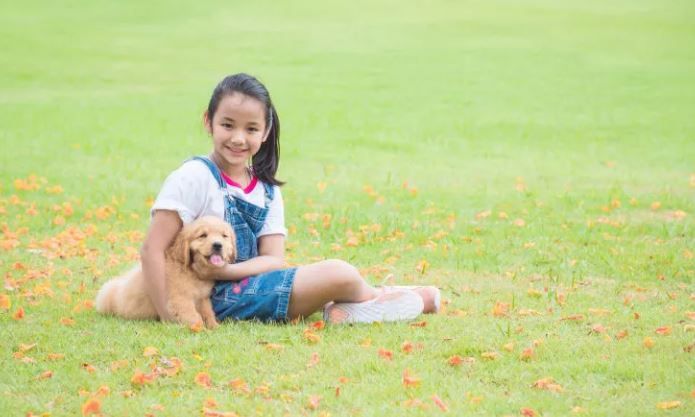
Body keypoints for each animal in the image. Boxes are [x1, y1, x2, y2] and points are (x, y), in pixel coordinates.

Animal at [95, 214, 237, 328]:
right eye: (203, 235)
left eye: (224, 236)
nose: (218, 245)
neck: (190, 271)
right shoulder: (180, 299)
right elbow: (193, 316)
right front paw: (200, 329)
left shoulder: (202, 298)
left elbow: (208, 312)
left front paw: (214, 326)